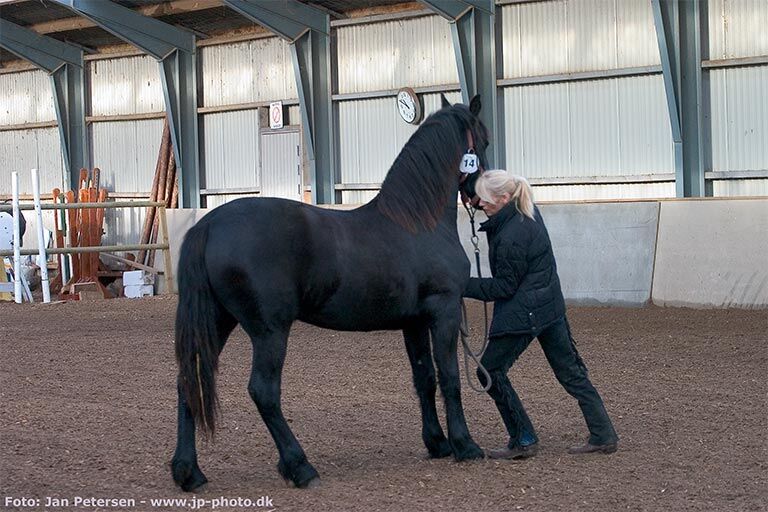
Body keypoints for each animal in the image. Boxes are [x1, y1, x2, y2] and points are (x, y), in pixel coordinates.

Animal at [171, 94, 488, 490]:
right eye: (484, 140)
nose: (480, 196)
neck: (418, 223)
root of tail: (209, 225)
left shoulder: (413, 322)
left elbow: (425, 378)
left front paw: (438, 443)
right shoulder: (443, 311)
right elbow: (450, 377)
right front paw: (465, 444)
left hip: (218, 321)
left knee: (189, 381)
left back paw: (188, 472)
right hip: (269, 331)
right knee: (264, 391)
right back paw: (299, 466)